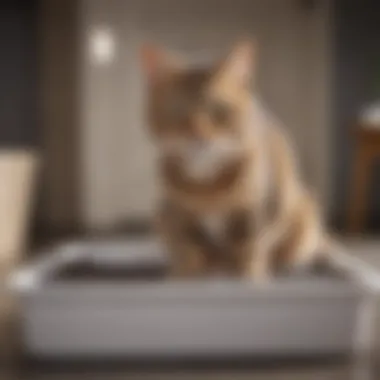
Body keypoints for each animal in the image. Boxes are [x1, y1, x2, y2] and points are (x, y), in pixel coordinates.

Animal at [140, 40, 338, 280]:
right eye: (177, 110)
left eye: (218, 110)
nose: (198, 135)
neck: (208, 190)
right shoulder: (174, 214)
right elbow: (187, 248)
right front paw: (184, 274)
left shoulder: (261, 209)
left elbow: (251, 246)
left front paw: (249, 276)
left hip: (304, 215)